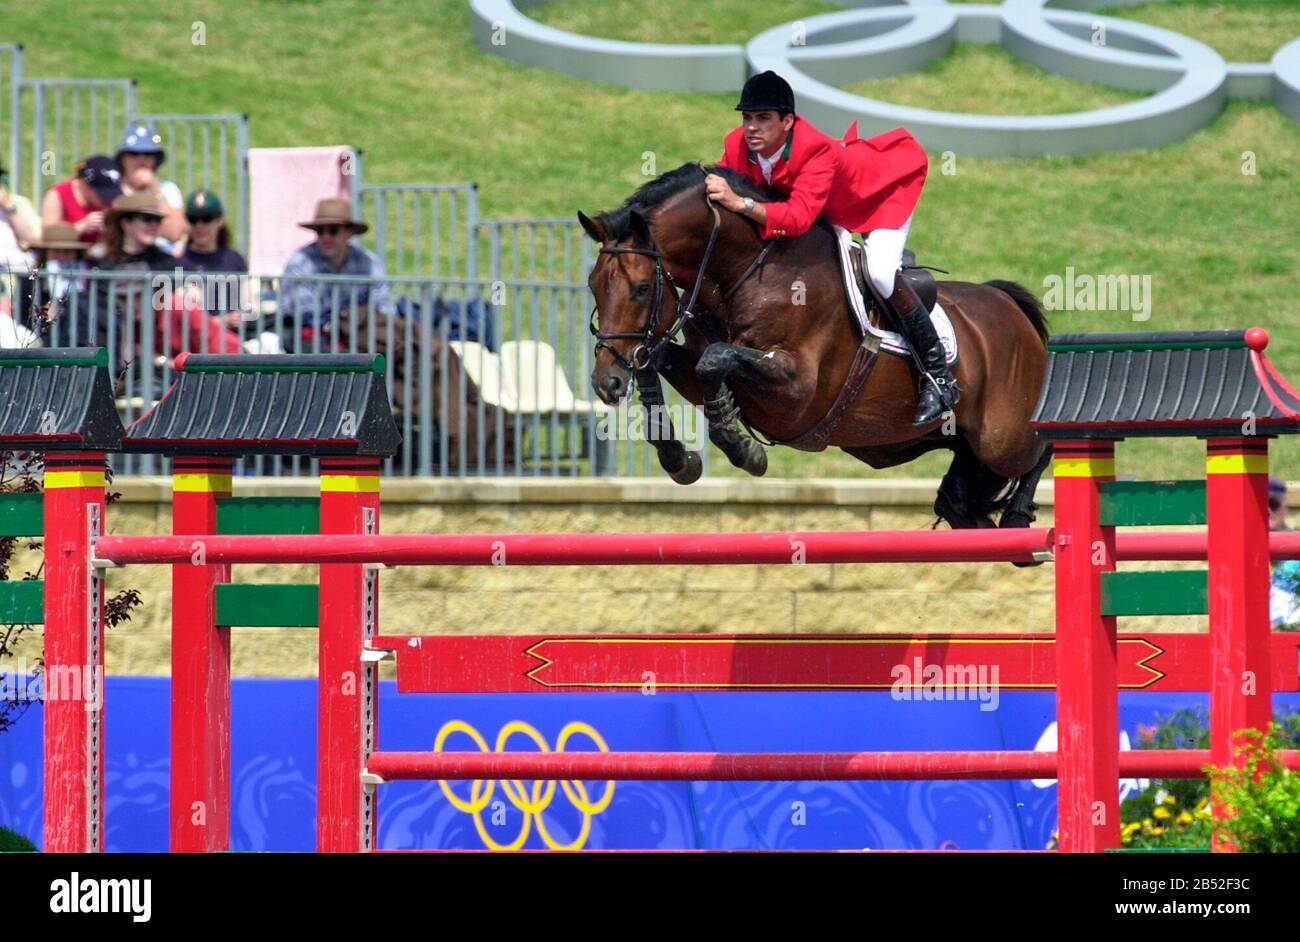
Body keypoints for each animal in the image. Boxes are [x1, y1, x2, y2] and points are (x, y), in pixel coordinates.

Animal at [585, 161, 1050, 530]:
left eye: (642, 289)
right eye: (592, 286)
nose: (606, 383)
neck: (747, 271)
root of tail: (1009, 305)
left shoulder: (796, 393)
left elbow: (716, 360)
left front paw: (744, 450)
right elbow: (665, 360)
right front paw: (679, 458)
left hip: (1001, 439)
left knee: (1041, 448)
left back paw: (1018, 516)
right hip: (951, 447)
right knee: (958, 503)